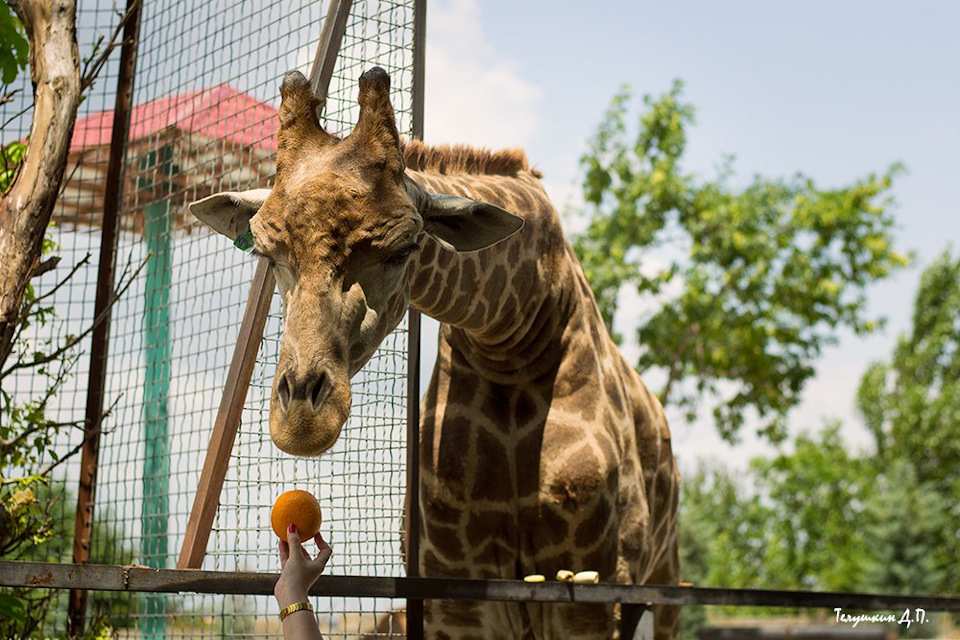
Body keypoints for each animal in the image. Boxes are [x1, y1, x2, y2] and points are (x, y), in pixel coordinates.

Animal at [191, 67, 680, 636]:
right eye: (267, 254)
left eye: (403, 249)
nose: (300, 422)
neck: (512, 341)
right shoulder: (457, 596)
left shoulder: (594, 590)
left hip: (664, 587)